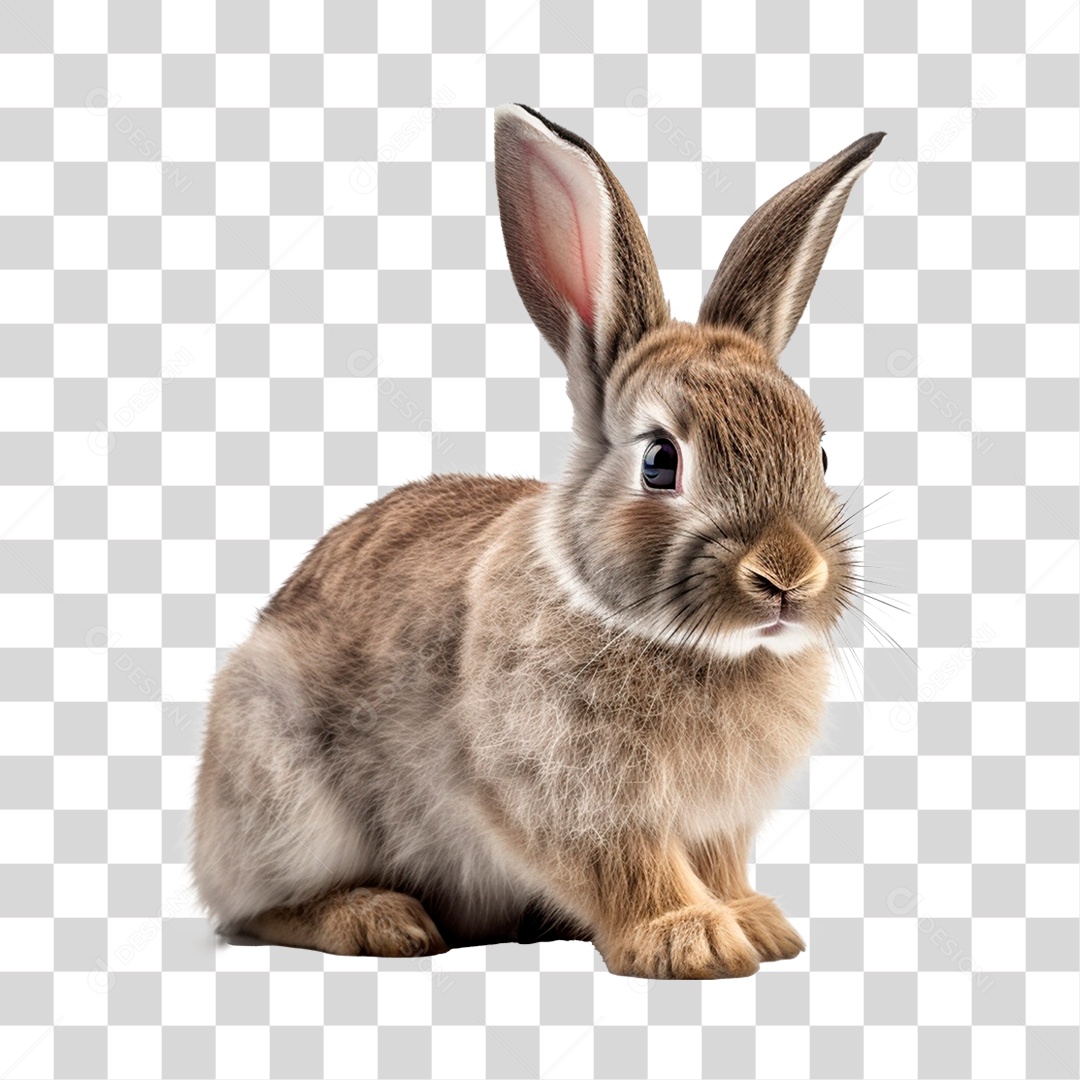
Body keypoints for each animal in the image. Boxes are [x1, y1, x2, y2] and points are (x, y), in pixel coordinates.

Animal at [191, 103, 883, 979]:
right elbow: (630, 867)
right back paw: (379, 920)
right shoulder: (574, 800)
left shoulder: (715, 820)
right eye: (660, 462)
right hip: (285, 797)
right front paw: (689, 940)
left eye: (820, 454)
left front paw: (757, 925)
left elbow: (719, 863)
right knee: (254, 910)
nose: (789, 574)